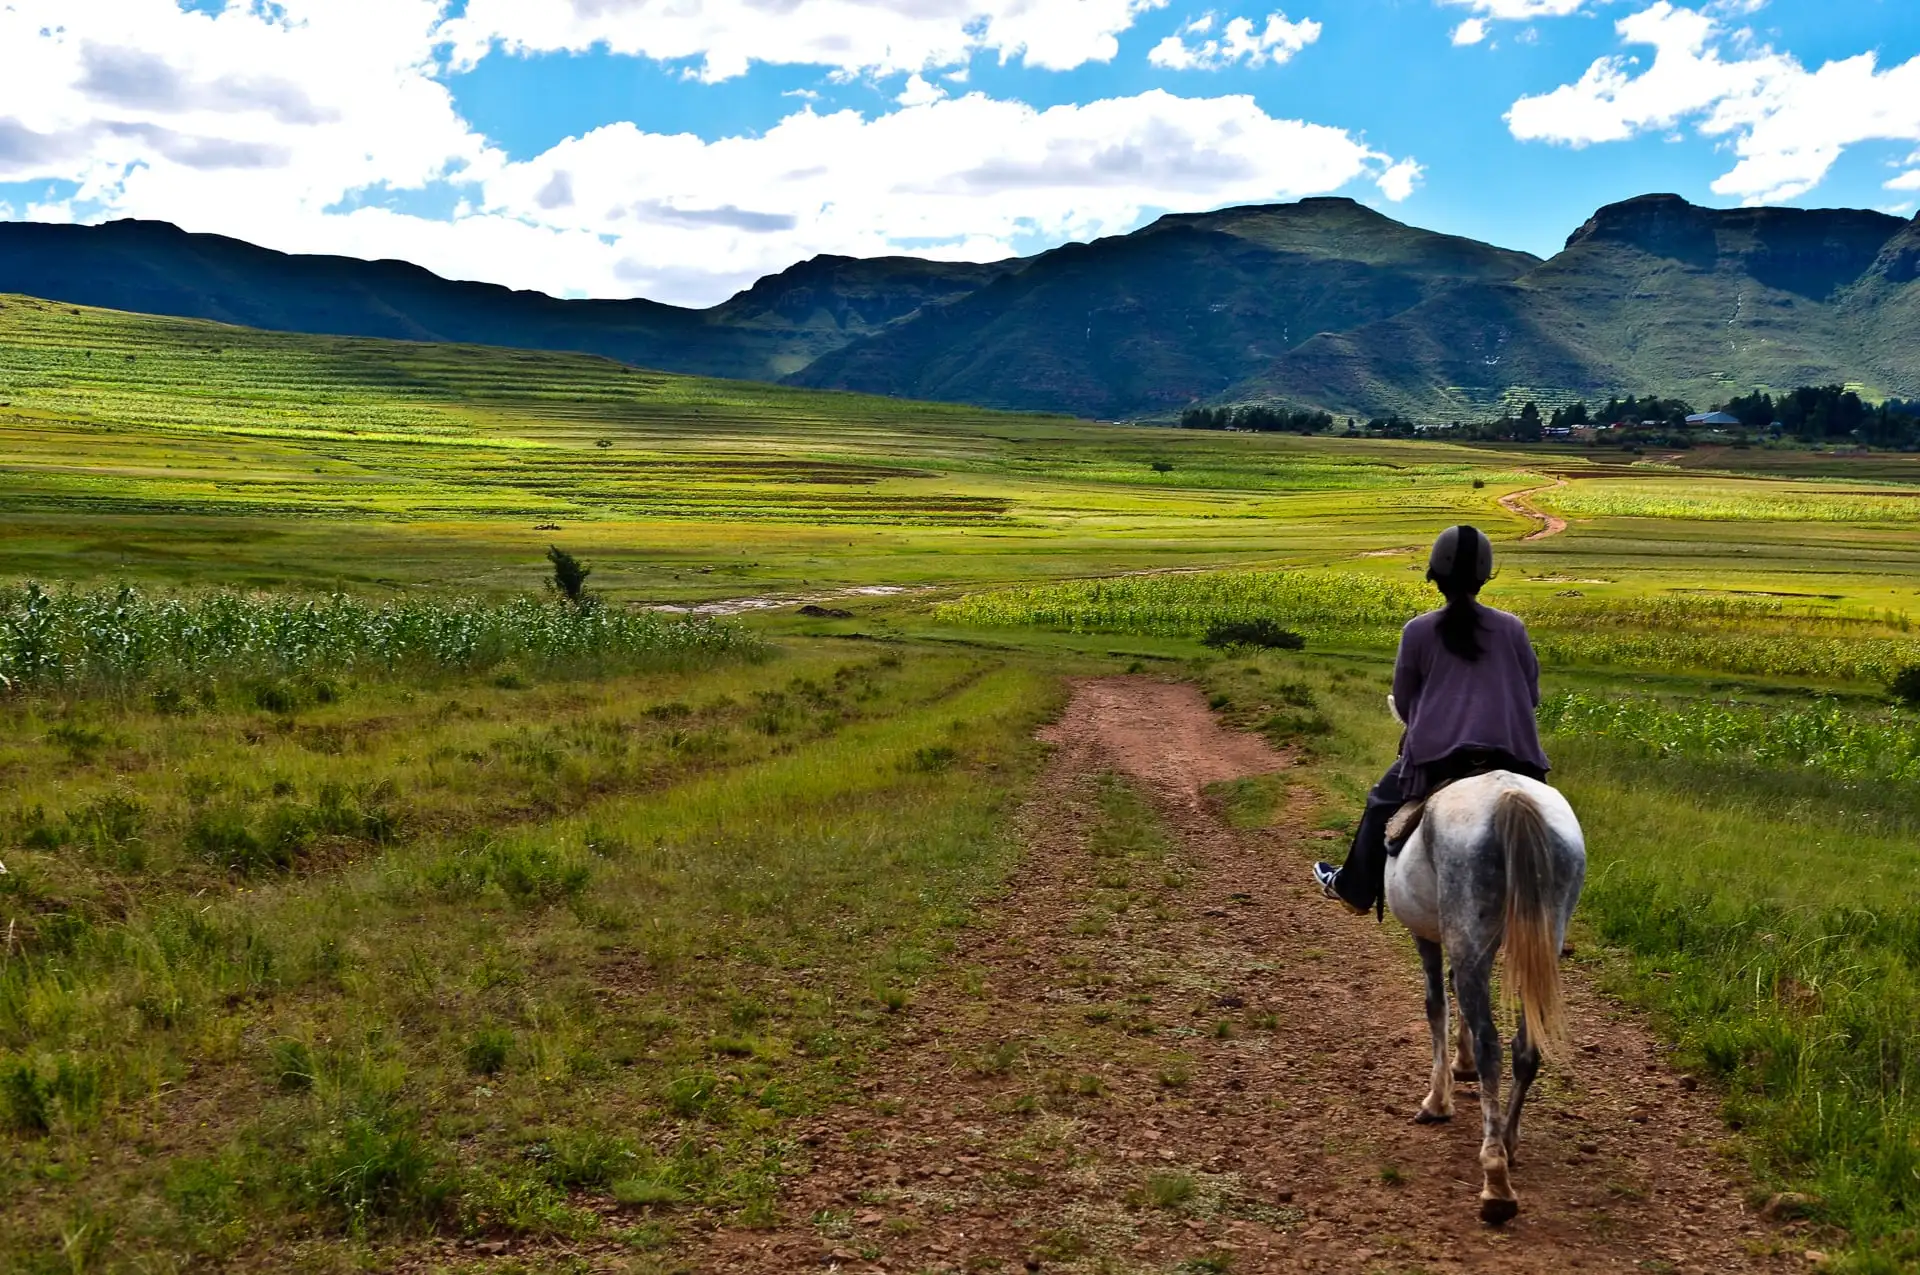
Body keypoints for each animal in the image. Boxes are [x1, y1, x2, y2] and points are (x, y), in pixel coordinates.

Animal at [1390, 768, 1582, 1228]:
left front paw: (1438, 1100)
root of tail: (1510, 797)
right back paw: (1508, 1143)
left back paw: (1495, 1180)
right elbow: (1455, 996)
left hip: (1469, 930)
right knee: (1525, 1047)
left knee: (1491, 1044)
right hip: (1542, 939)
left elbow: (1436, 1005)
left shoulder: (1427, 935)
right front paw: (1461, 1067)